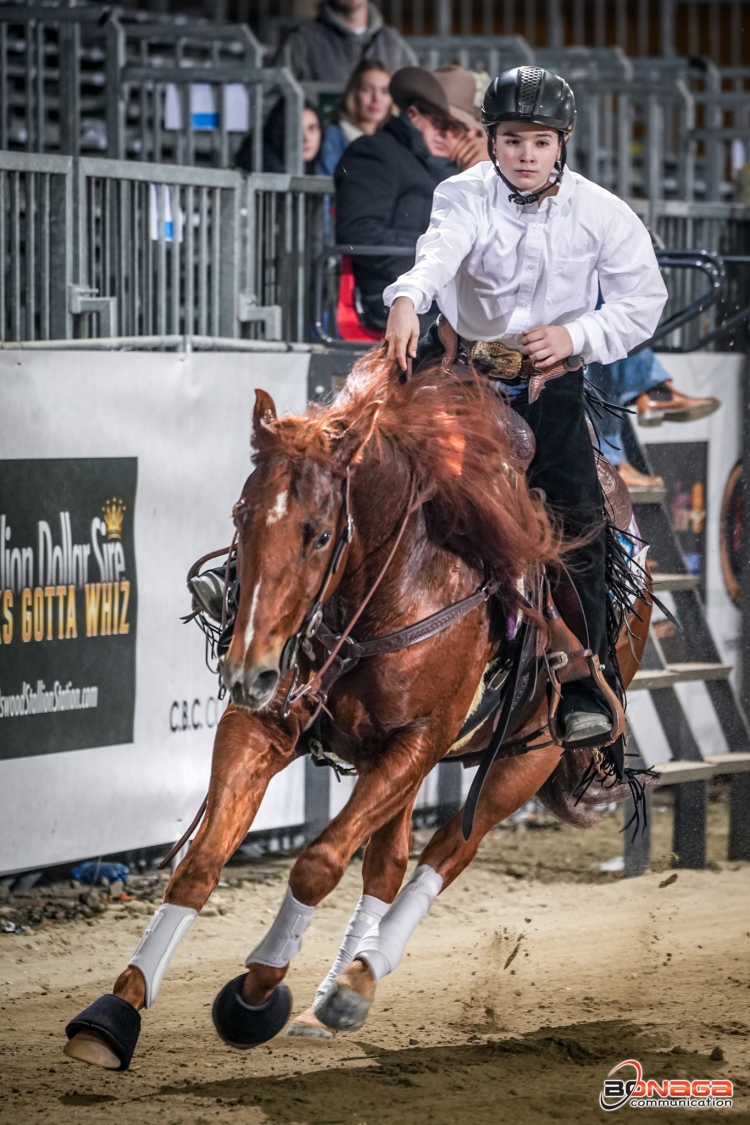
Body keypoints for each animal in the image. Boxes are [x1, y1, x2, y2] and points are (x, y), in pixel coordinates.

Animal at [64, 355, 652, 1066]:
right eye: (240, 516)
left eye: (320, 534)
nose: (248, 669)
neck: (397, 588)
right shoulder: (262, 726)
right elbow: (201, 863)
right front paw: (114, 1012)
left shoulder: (417, 742)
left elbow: (318, 862)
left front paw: (256, 993)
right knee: (388, 863)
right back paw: (336, 989)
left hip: (523, 758)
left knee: (446, 852)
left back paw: (357, 981)